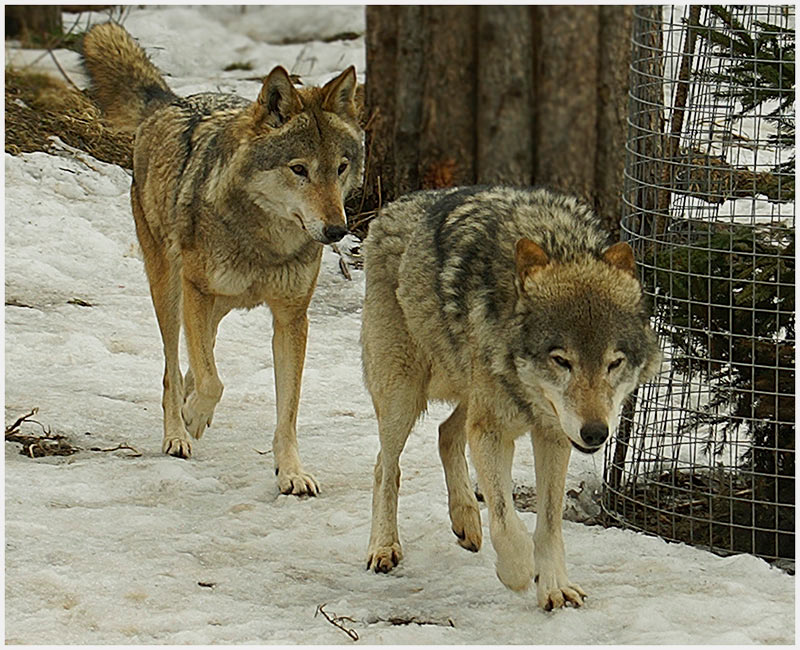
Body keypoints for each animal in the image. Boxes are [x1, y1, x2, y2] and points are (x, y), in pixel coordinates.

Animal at [82, 23, 364, 496]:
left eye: (340, 168)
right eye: (299, 169)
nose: (336, 231)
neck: (264, 243)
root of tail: (171, 101)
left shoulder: (291, 318)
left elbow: (286, 411)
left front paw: (290, 472)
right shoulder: (197, 291)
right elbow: (212, 379)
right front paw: (193, 417)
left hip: (219, 305)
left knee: (195, 359)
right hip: (173, 291)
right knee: (173, 367)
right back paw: (177, 431)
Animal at [361, 186, 661, 609]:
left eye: (613, 363)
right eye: (561, 360)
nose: (595, 433)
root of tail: (392, 206)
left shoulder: (552, 436)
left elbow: (549, 523)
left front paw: (554, 587)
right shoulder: (493, 431)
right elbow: (505, 521)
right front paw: (519, 572)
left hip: (469, 392)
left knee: (445, 432)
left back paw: (466, 520)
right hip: (404, 395)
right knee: (385, 468)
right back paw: (385, 546)